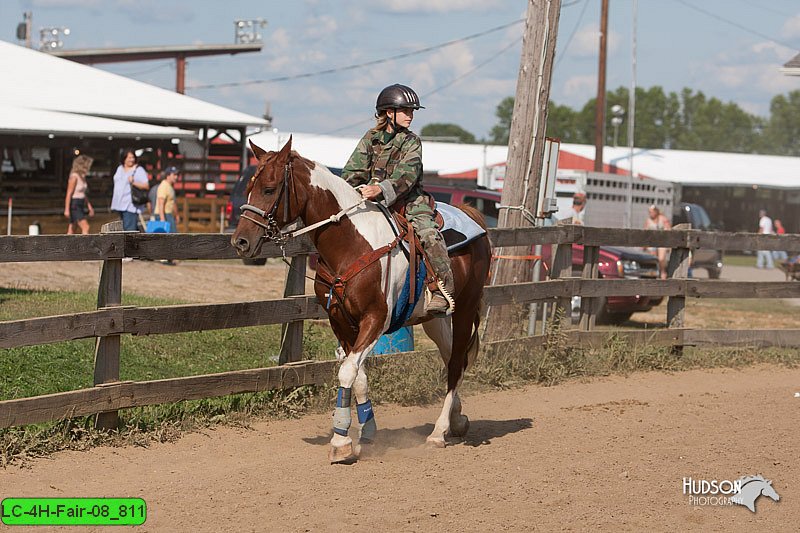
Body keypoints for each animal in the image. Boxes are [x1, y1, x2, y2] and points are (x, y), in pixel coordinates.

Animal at [231, 137, 490, 462]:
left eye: (269, 188)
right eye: (250, 185)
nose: (240, 241)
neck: (352, 244)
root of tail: (473, 216)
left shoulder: (375, 319)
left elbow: (347, 372)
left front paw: (341, 441)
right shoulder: (340, 321)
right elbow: (358, 375)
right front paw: (366, 432)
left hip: (465, 309)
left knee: (456, 362)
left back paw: (438, 432)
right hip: (435, 318)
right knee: (450, 356)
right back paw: (457, 419)